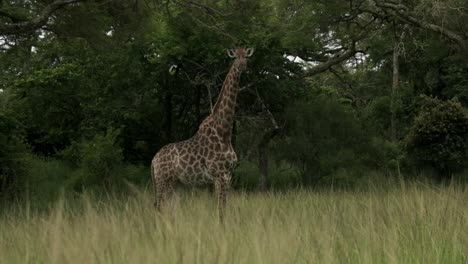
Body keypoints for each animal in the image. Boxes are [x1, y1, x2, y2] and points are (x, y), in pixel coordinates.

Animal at [151, 46, 254, 220]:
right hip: (163, 180)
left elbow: (223, 208)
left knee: (169, 208)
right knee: (160, 207)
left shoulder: (228, 176)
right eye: (235, 57)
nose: (242, 66)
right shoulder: (219, 175)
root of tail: (153, 160)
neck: (224, 133)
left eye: (246, 56)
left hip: (175, 183)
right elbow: (220, 210)